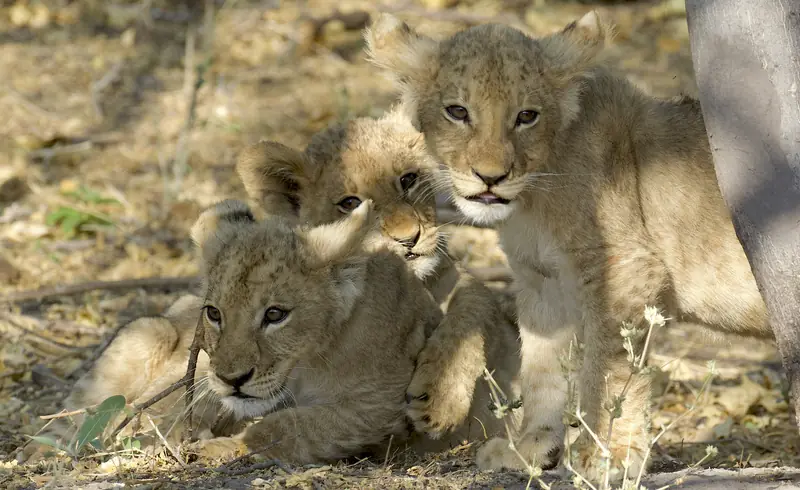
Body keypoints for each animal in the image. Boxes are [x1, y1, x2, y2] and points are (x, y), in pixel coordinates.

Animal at [365, 11, 771, 482]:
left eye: (526, 116)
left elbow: (609, 370)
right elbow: (542, 368)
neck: (533, 199)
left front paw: (608, 456)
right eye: (457, 112)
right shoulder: (542, 280)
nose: (491, 178)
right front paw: (531, 448)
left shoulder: (625, 268)